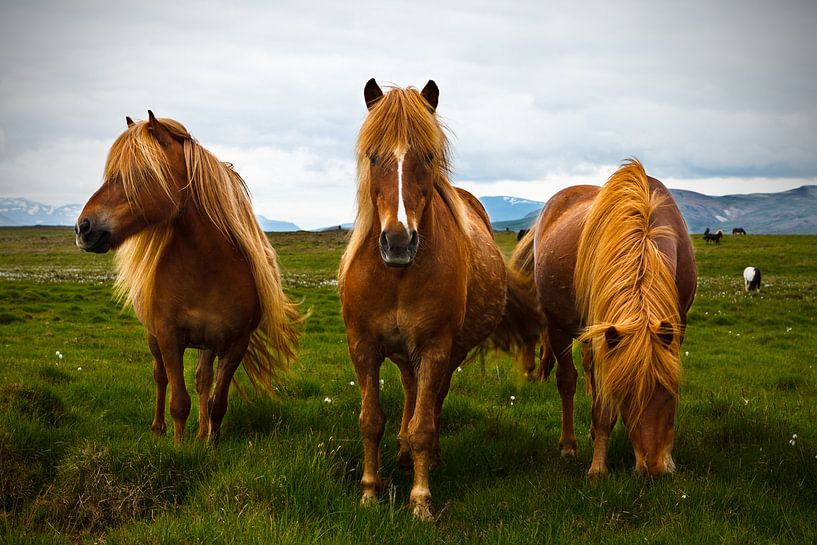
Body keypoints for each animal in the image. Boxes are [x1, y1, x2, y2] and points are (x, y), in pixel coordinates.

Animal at [74, 112, 300, 444]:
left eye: (142, 172)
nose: (83, 228)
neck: (208, 270)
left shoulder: (235, 344)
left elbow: (217, 401)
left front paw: (210, 443)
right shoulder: (169, 337)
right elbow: (178, 401)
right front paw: (179, 448)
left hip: (208, 344)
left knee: (203, 381)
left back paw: (202, 433)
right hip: (153, 337)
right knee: (160, 376)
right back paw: (158, 429)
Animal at [334, 79, 540, 520]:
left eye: (428, 156)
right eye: (373, 156)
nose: (398, 242)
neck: (396, 276)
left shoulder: (434, 348)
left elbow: (425, 426)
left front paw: (420, 499)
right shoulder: (362, 346)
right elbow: (371, 420)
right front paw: (370, 491)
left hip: (449, 352)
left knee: (432, 401)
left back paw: (427, 458)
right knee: (411, 392)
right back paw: (401, 454)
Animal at [510, 160, 696, 476]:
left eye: (670, 394)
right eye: (624, 395)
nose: (653, 469)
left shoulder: (675, 324)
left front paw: (669, 458)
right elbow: (602, 405)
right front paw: (598, 467)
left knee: (588, 372)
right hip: (560, 327)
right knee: (568, 380)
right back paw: (569, 444)